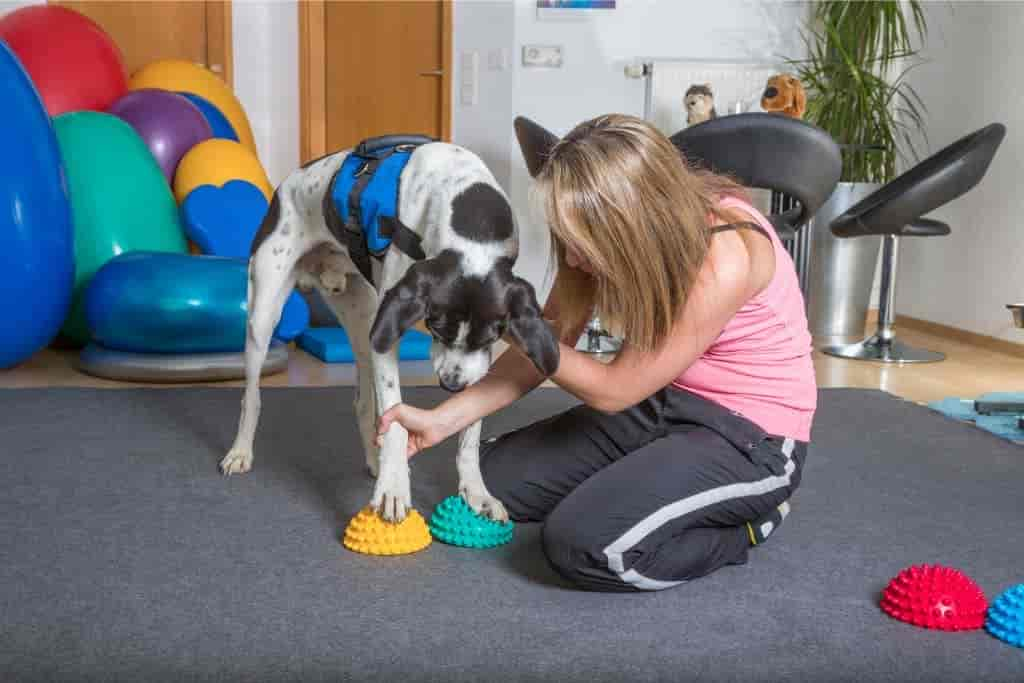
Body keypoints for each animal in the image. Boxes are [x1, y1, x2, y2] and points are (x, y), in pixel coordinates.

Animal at [220, 137, 561, 524]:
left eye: (492, 336)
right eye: (435, 326)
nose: (451, 385)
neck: (468, 213)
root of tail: (287, 183)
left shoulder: (473, 359)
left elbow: (468, 428)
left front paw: (476, 491)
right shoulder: (390, 331)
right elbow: (396, 418)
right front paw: (394, 488)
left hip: (364, 317)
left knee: (365, 403)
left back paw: (374, 459)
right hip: (265, 313)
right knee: (251, 396)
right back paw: (240, 451)